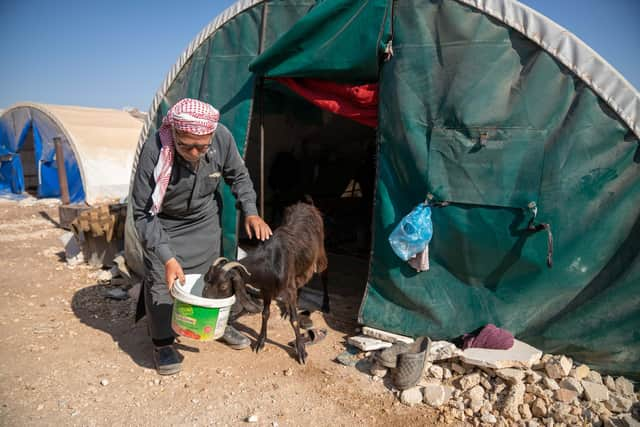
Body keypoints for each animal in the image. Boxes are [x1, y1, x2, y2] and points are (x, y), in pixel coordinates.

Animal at [202, 203, 328, 364]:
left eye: (223, 286)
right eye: (207, 280)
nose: (205, 303)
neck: (270, 261)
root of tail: (307, 205)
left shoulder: (287, 287)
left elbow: (294, 320)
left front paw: (301, 351)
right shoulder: (267, 289)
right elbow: (265, 314)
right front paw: (260, 342)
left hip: (320, 254)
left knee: (324, 274)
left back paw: (326, 304)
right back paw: (287, 309)